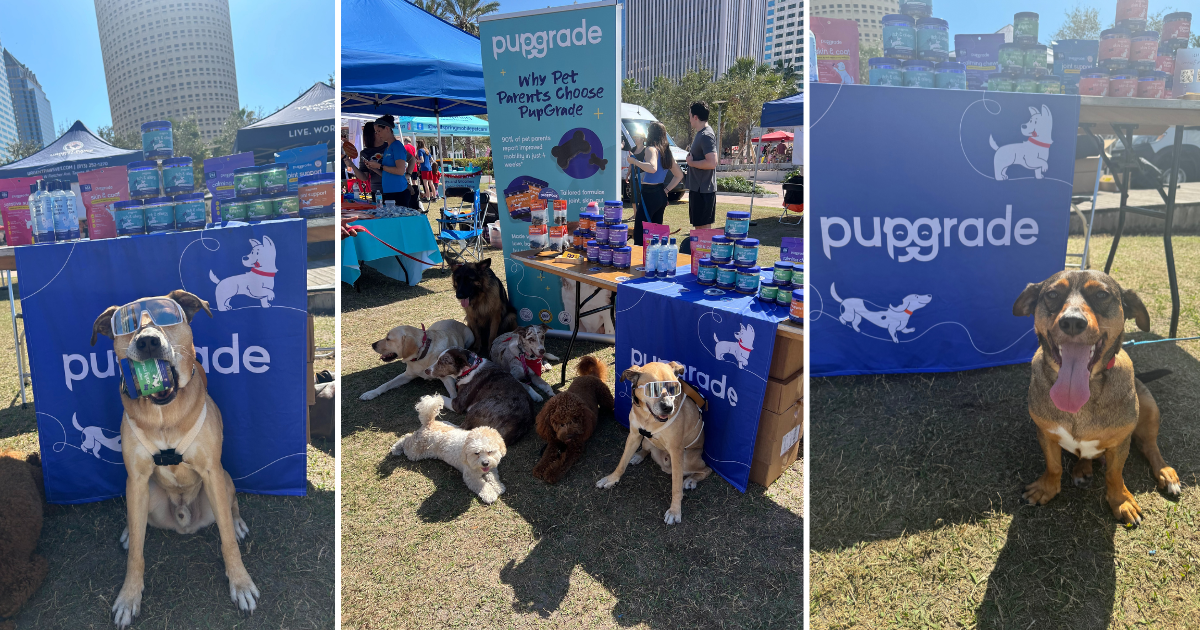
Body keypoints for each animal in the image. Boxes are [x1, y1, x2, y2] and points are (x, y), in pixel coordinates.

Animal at [93, 290, 260, 624]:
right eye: (126, 324)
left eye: (167, 315)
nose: (147, 341)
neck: (164, 412)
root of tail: (183, 520)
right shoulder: (137, 478)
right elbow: (137, 555)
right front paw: (129, 596)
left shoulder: (212, 471)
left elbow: (226, 541)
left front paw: (240, 582)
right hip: (144, 492)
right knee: (138, 522)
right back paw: (130, 531)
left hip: (224, 480)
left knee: (231, 507)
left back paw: (237, 523)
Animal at [532, 355, 614, 484]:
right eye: (558, 422)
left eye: (575, 419)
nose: (569, 436)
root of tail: (591, 375)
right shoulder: (554, 440)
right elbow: (547, 455)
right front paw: (540, 468)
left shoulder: (575, 447)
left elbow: (563, 462)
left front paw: (551, 473)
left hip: (605, 397)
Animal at [595, 360, 705, 523]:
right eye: (653, 389)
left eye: (673, 388)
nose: (668, 408)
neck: (648, 418)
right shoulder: (634, 435)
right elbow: (622, 463)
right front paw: (611, 478)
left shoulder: (676, 451)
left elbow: (676, 486)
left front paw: (675, 510)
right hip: (648, 442)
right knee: (646, 449)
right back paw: (637, 455)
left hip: (687, 459)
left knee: (706, 469)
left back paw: (692, 479)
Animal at [1012, 267, 1180, 523]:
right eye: (1052, 294)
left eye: (1101, 294)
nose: (1072, 322)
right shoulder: (1046, 434)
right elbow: (1054, 466)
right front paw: (1046, 488)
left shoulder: (1121, 443)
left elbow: (1114, 474)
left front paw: (1121, 501)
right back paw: (1082, 469)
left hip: (1150, 409)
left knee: (1150, 447)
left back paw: (1166, 474)